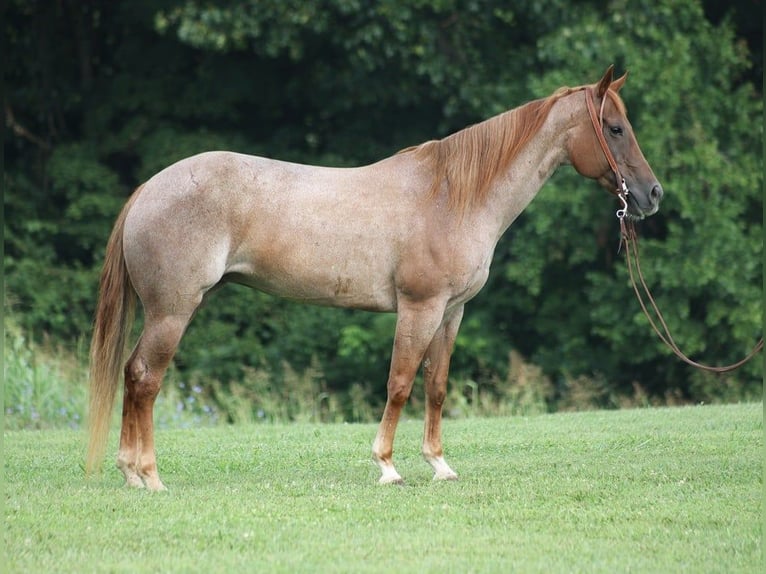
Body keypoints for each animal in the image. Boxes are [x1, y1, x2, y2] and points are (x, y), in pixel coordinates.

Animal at [87, 66, 664, 490]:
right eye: (615, 128)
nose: (651, 194)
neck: (452, 195)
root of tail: (149, 189)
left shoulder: (452, 312)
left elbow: (436, 386)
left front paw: (439, 464)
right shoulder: (419, 307)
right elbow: (400, 383)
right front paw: (387, 466)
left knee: (133, 376)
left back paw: (131, 474)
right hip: (173, 311)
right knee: (145, 378)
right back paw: (149, 476)